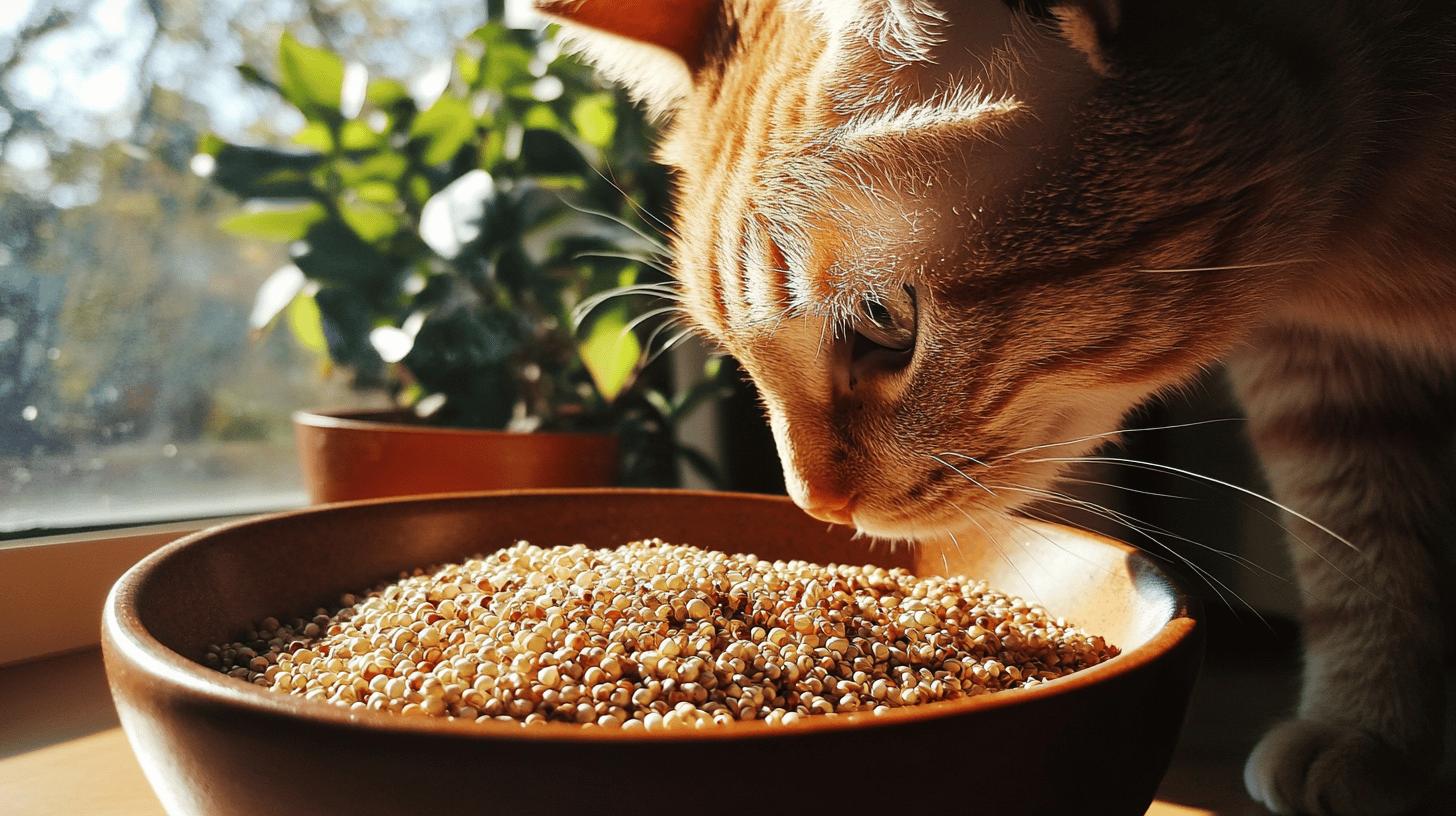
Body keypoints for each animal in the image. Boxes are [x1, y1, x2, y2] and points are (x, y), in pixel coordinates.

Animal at [537, 1, 1456, 813]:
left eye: (884, 321)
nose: (814, 504)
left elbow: (1359, 538)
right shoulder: (1315, 366)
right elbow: (1358, 538)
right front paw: (1371, 730)